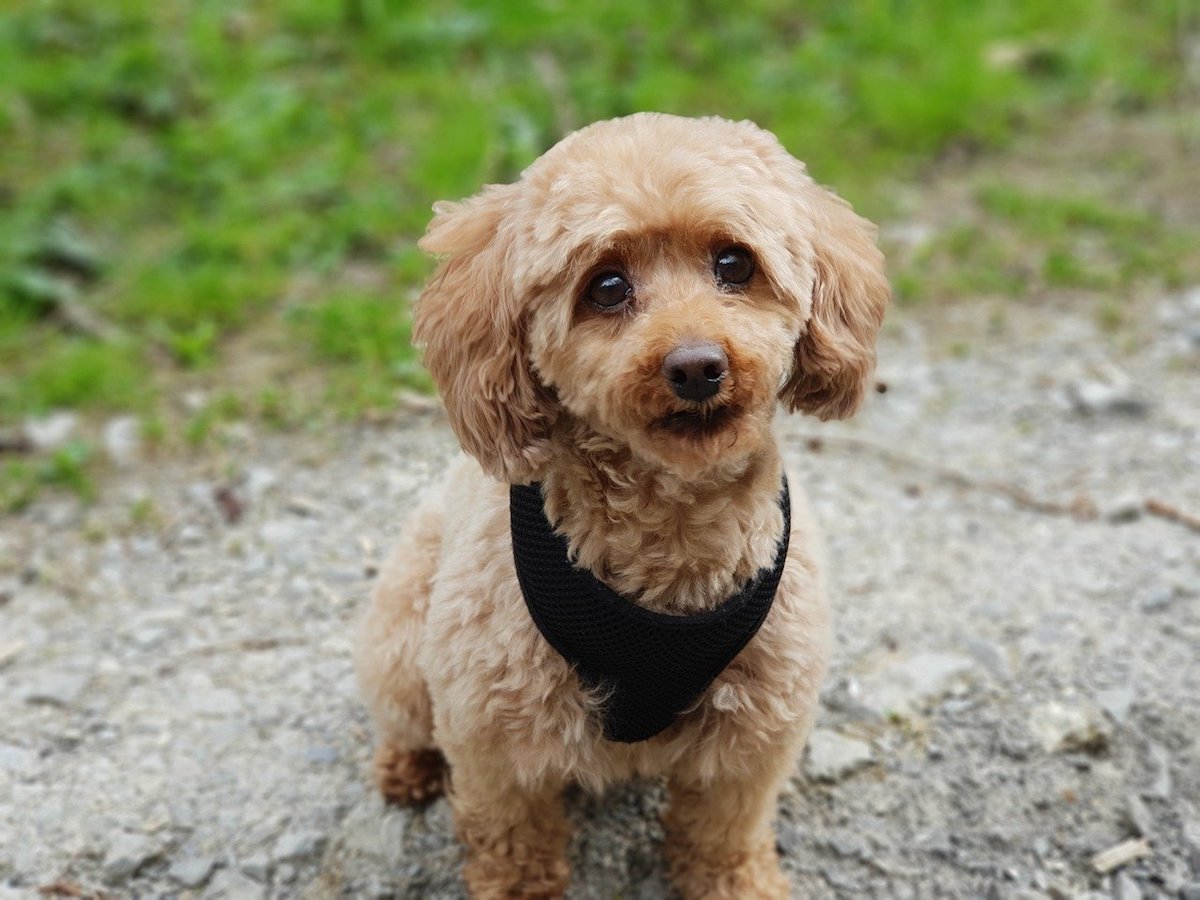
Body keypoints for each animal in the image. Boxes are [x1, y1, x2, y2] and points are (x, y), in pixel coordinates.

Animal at [350, 114, 888, 900]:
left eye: (735, 264)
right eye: (606, 286)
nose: (697, 366)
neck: (671, 538)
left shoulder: (754, 736)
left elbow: (723, 834)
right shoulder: (494, 738)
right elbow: (512, 843)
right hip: (401, 639)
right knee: (404, 718)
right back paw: (407, 766)